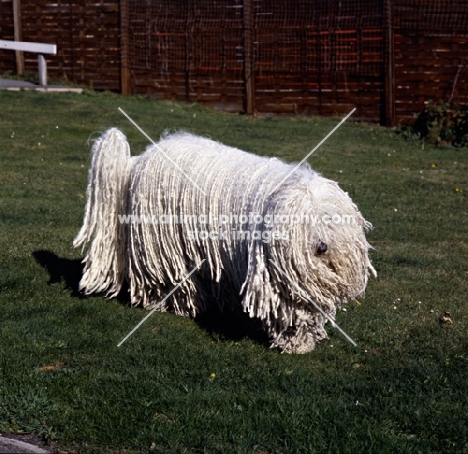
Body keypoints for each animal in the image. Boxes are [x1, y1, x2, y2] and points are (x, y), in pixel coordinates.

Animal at [74, 127, 376, 354]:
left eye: (329, 220)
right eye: (304, 223)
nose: (321, 246)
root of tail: (140, 159)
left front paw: (301, 341)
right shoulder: (277, 279)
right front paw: (293, 342)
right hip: (160, 246)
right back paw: (173, 304)